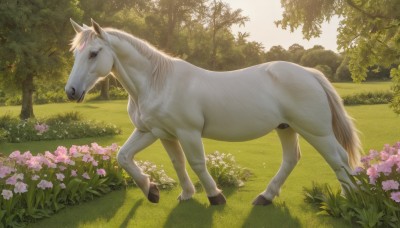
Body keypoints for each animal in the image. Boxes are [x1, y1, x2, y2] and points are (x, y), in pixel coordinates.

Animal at [66, 18, 362, 206]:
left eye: (93, 53)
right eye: (76, 53)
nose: (70, 91)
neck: (158, 82)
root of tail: (310, 74)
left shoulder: (188, 132)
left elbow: (197, 163)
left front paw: (214, 196)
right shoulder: (155, 132)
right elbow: (132, 158)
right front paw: (158, 191)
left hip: (316, 131)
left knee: (338, 159)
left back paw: (352, 199)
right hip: (286, 128)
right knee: (293, 159)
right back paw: (266, 197)